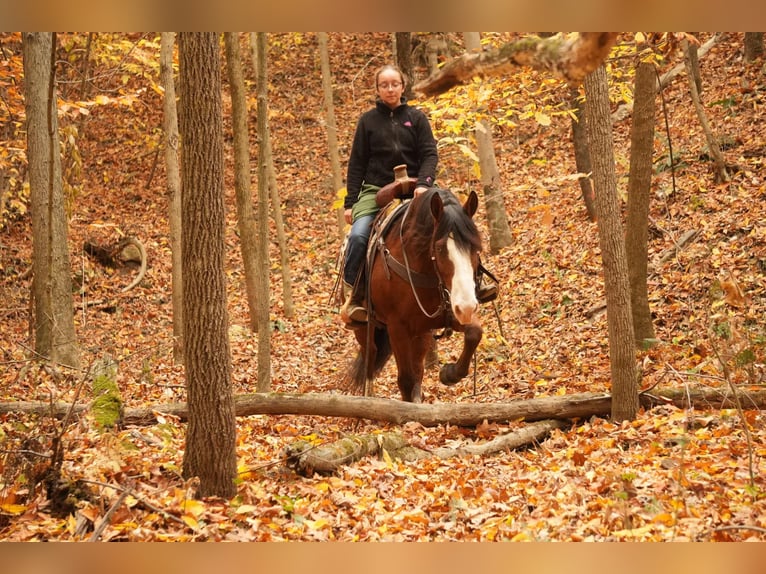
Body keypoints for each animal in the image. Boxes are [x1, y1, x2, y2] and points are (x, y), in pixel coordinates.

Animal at [350, 189, 486, 404]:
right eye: (439, 248)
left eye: (475, 248)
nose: (467, 307)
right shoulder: (397, 327)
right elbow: (405, 380)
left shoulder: (449, 312)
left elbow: (474, 332)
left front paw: (450, 373)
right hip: (365, 329)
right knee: (369, 360)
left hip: (421, 333)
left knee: (417, 370)